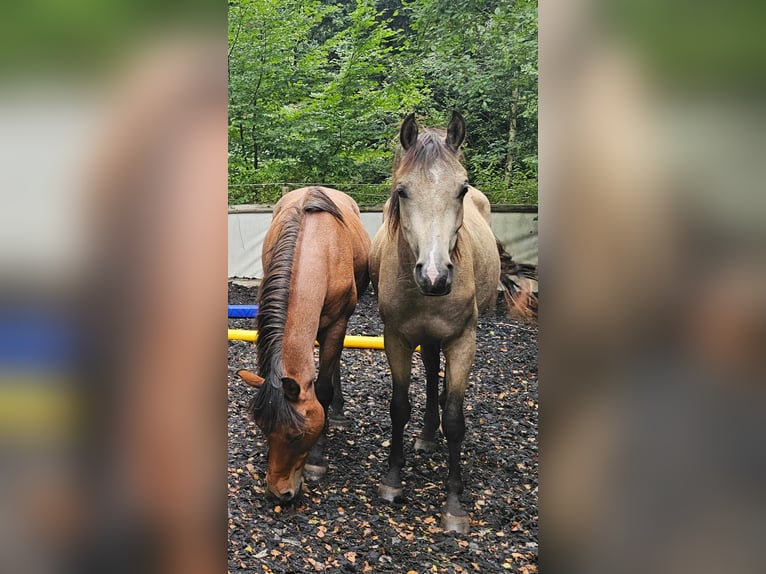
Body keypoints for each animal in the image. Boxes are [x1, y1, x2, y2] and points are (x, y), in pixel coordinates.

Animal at [237, 186, 370, 502]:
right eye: (263, 429)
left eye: (296, 436)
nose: (279, 492)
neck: (319, 250)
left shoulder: (338, 323)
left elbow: (322, 388)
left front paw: (317, 460)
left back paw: (337, 413)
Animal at [369, 111, 537, 533]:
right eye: (402, 191)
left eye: (461, 190)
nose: (434, 276)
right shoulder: (395, 339)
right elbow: (400, 406)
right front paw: (393, 481)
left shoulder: (463, 341)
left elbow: (456, 418)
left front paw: (454, 502)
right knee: (431, 373)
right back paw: (428, 434)